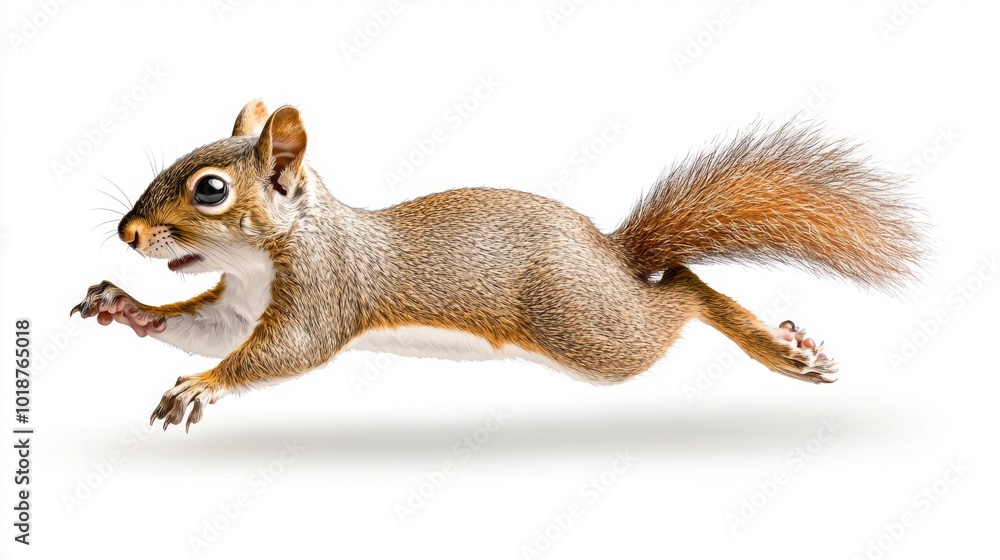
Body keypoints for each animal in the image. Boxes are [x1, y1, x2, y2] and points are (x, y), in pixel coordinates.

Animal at [71, 100, 925, 431]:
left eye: (210, 189)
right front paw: (121, 304)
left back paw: (779, 347)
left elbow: (281, 353)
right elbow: (200, 329)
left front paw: (200, 388)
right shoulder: (235, 306)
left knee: (681, 292)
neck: (265, 258)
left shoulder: (325, 289)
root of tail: (607, 251)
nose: (127, 232)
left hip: (592, 332)